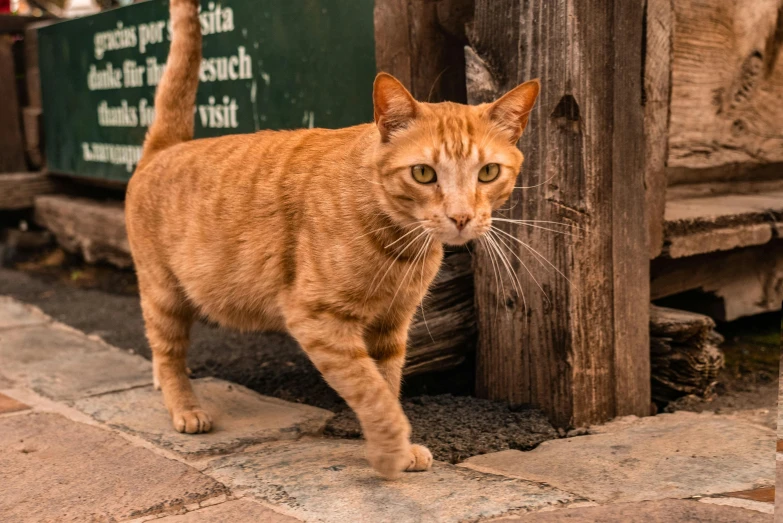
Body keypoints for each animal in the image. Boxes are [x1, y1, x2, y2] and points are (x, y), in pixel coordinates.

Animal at [127, 0, 540, 478]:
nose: (461, 217)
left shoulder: (391, 328)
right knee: (167, 351)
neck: (398, 246)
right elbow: (371, 391)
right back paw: (184, 407)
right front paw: (390, 449)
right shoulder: (317, 319)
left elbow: (387, 384)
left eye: (488, 172)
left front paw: (399, 446)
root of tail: (165, 148)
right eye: (423, 173)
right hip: (164, 293)